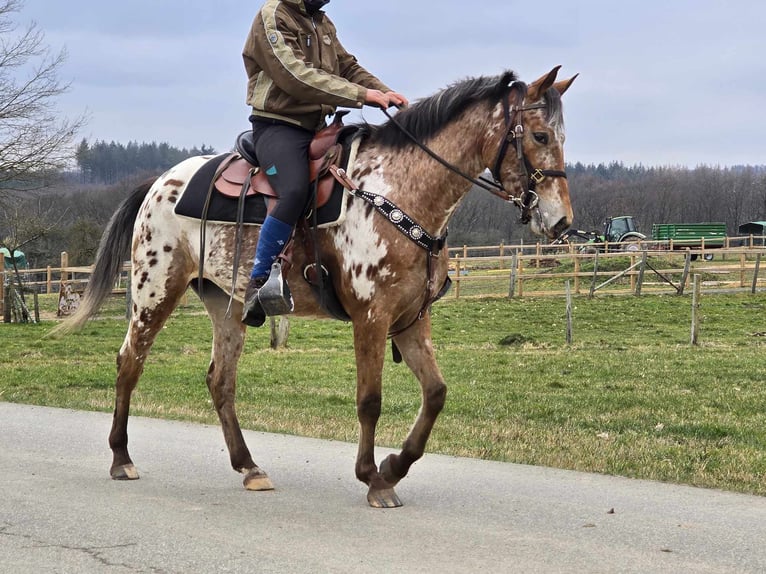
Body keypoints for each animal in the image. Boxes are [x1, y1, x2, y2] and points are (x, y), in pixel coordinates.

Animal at [61, 66, 576, 508]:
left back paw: (249, 467)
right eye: (540, 135)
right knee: (129, 362)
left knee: (220, 381)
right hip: (155, 290)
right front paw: (374, 479)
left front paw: (394, 465)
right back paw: (122, 458)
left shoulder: (411, 319)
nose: (561, 221)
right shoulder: (371, 317)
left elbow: (435, 393)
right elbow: (370, 400)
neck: (398, 190)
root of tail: (159, 182)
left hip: (226, 305)